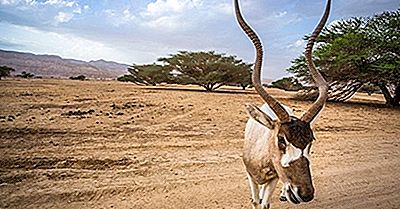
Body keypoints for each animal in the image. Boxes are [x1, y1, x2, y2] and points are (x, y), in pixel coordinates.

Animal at [234, 0, 332, 209]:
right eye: (281, 140)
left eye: (311, 140)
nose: (304, 193)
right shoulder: (251, 177)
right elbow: (255, 201)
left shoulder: (274, 178)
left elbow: (264, 203)